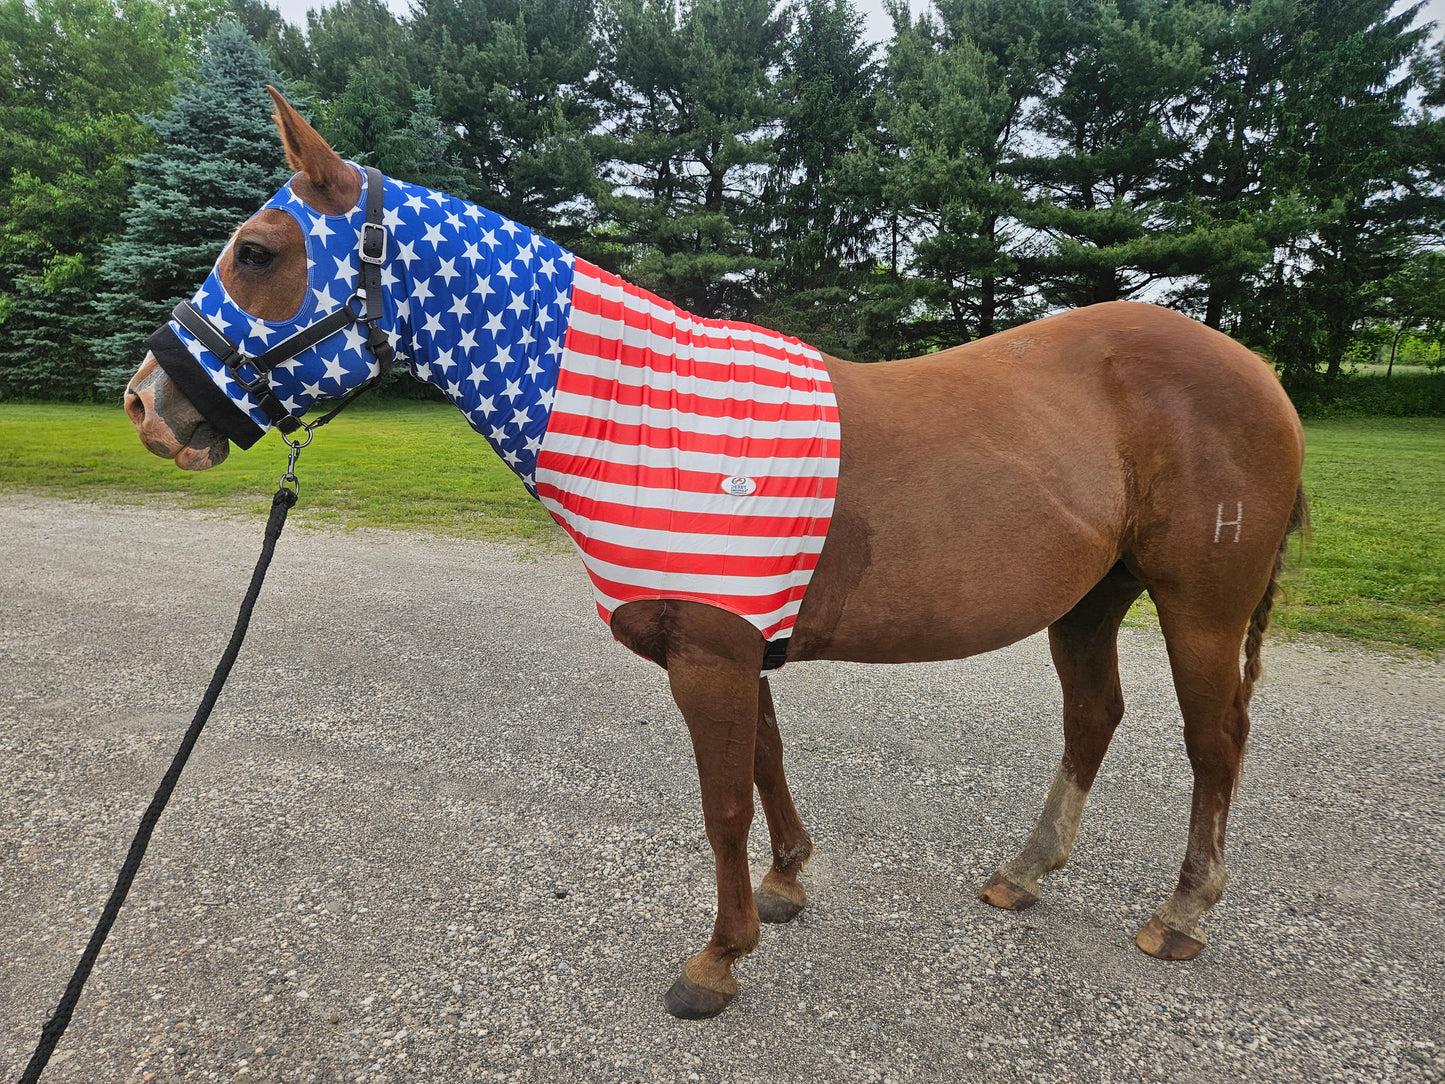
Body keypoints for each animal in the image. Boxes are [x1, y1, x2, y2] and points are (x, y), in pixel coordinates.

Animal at [124, 89, 1307, 1020]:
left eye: (259, 252)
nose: (146, 406)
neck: (650, 420)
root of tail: (1255, 369)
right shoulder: (743, 642)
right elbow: (767, 765)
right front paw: (784, 888)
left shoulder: (709, 655)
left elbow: (721, 801)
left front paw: (717, 958)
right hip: (1092, 598)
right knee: (1093, 717)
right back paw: (1023, 872)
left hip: (1198, 607)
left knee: (1213, 745)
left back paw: (1181, 912)